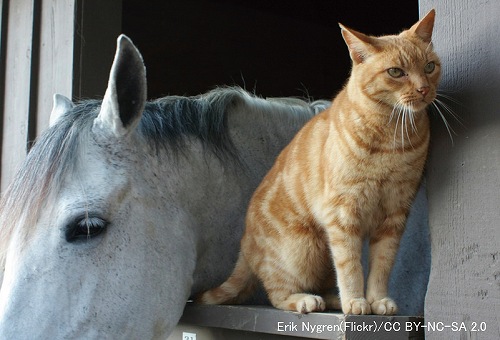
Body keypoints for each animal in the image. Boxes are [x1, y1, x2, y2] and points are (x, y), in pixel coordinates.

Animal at [197, 8, 440, 316]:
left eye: (429, 67)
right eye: (396, 72)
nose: (423, 89)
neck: (392, 137)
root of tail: (246, 243)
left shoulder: (394, 215)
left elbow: (382, 265)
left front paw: (376, 299)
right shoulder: (343, 214)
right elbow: (350, 267)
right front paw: (356, 301)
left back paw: (334, 299)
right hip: (303, 250)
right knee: (277, 293)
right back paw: (307, 300)